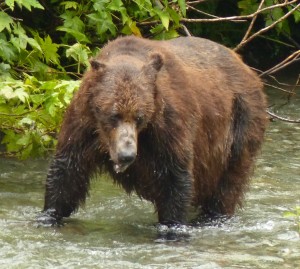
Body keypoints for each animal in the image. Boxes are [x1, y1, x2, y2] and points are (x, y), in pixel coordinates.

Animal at [38, 35, 268, 224]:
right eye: (114, 115)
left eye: (139, 117)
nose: (127, 155)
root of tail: (245, 65)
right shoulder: (84, 122)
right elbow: (68, 170)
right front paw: (49, 215)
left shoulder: (167, 125)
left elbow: (174, 177)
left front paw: (171, 227)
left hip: (241, 117)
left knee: (230, 179)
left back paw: (211, 217)